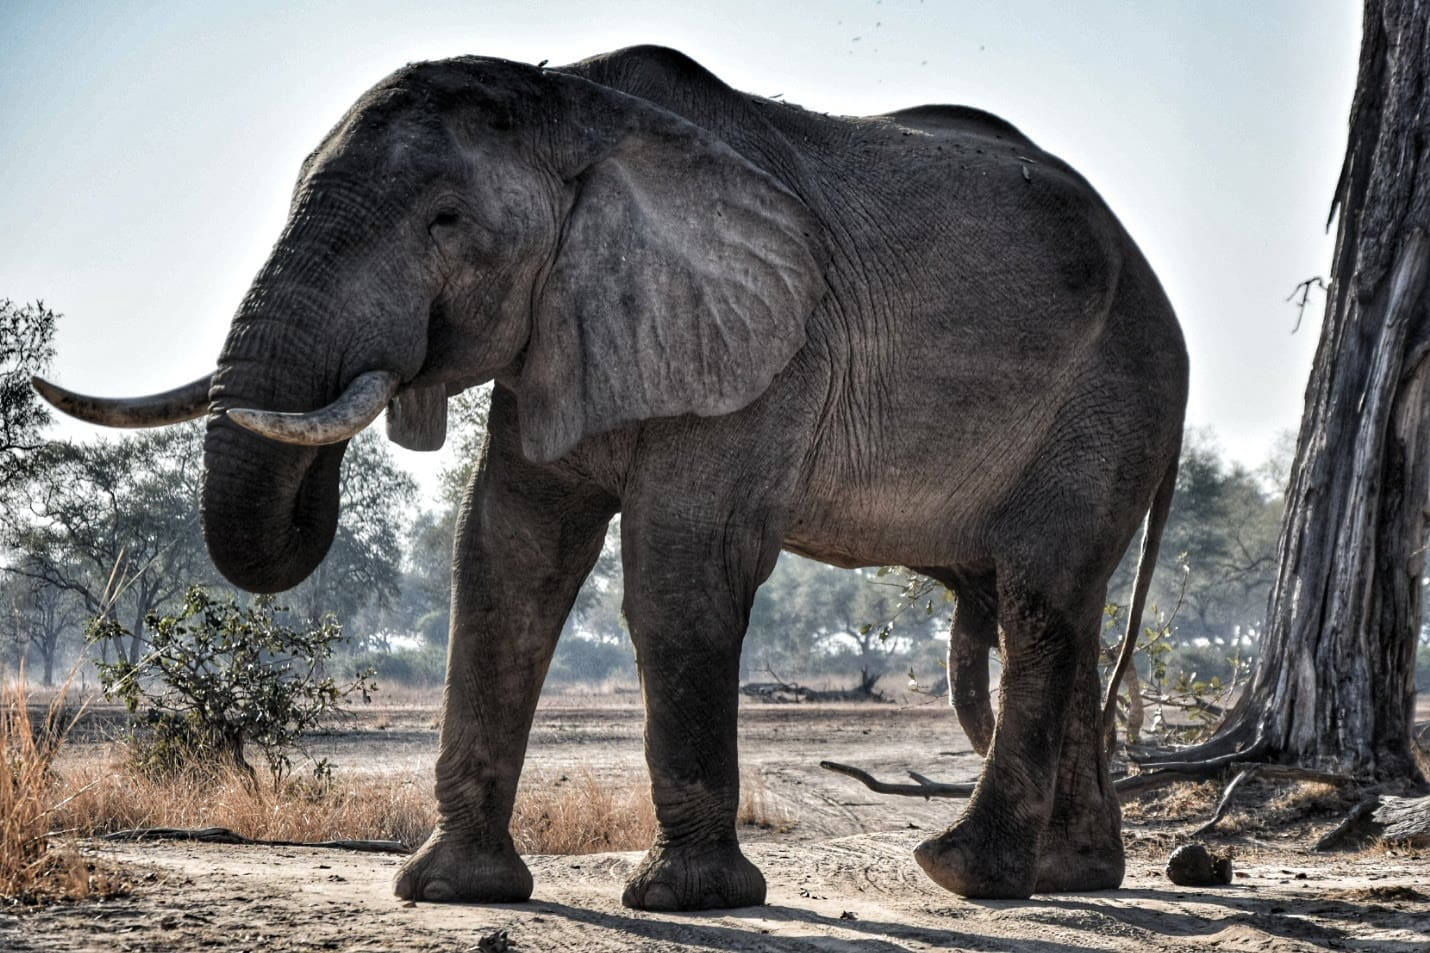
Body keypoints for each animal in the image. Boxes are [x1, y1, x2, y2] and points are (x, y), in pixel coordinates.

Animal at [39, 44, 1189, 904]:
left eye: (444, 221)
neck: (578, 113)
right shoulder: (564, 321)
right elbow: (507, 554)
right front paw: (451, 886)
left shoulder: (765, 345)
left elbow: (680, 566)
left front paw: (687, 897)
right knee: (1057, 610)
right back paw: (1073, 873)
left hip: (1111, 397)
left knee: (1037, 601)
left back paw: (963, 873)